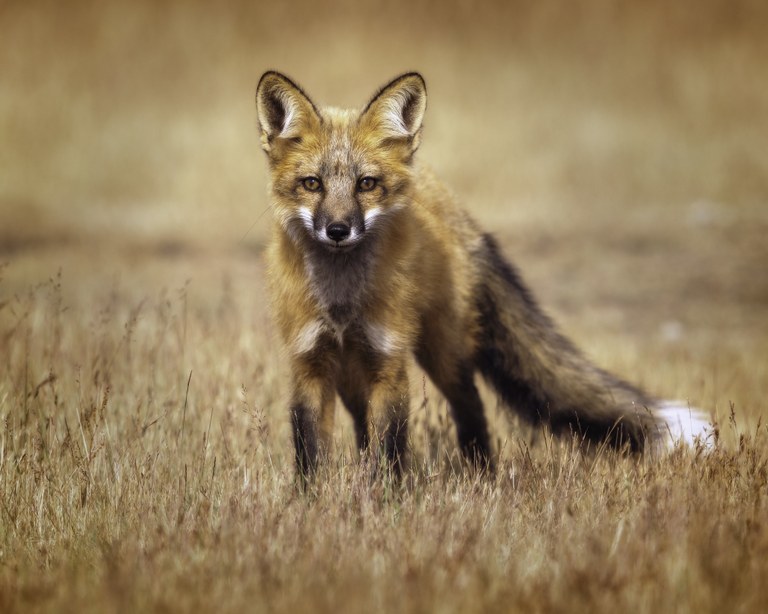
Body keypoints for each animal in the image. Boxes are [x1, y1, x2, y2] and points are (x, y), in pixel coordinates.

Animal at [255, 70, 712, 478]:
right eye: (312, 184)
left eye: (366, 184)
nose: (337, 230)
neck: (342, 301)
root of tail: (449, 201)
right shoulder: (309, 362)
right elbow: (310, 454)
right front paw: (313, 504)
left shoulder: (389, 360)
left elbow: (390, 452)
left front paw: (385, 501)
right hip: (355, 372)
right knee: (364, 425)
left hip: (443, 350)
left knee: (471, 406)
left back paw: (482, 474)